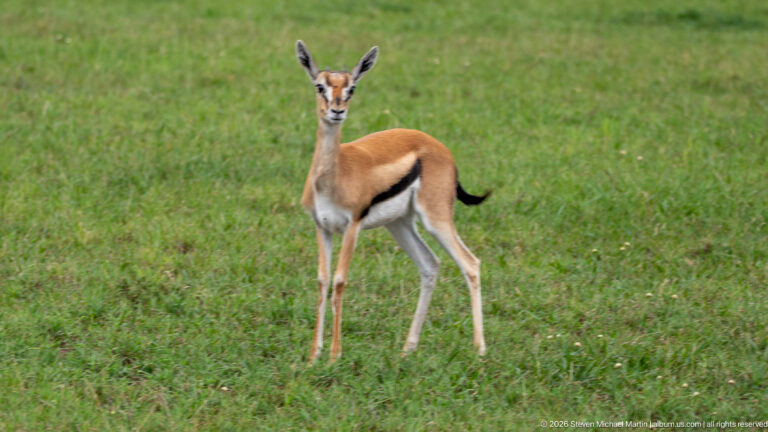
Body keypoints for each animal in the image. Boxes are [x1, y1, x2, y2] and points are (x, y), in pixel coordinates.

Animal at [296, 40, 490, 364]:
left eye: (351, 88)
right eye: (319, 86)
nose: (337, 111)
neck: (334, 176)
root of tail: (442, 149)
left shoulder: (352, 227)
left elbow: (340, 281)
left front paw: (335, 355)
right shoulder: (321, 227)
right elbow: (323, 281)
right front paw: (313, 357)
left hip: (435, 219)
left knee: (470, 263)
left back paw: (479, 349)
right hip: (400, 224)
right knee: (430, 265)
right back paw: (408, 348)